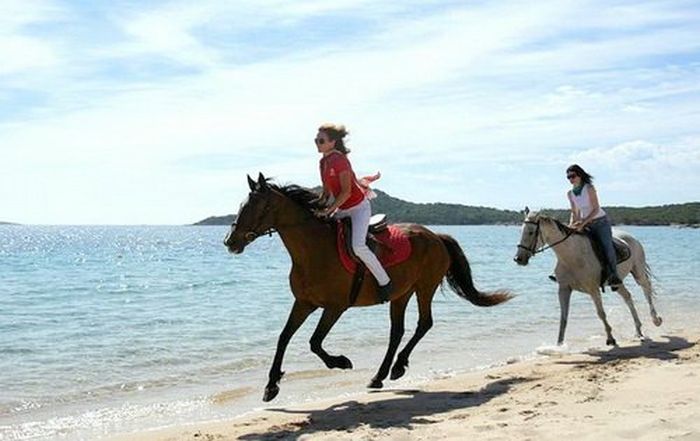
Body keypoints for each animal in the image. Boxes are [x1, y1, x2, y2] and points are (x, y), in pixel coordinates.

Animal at [226, 174, 516, 400]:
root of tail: (436, 236)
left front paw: (340, 362)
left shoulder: (335, 307)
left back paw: (397, 367)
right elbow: (284, 337)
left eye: (255, 207)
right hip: (402, 293)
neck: (314, 250)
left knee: (424, 323)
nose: (230, 241)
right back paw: (380, 375)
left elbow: (314, 341)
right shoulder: (304, 303)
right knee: (397, 331)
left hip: (425, 286)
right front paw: (271, 386)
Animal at [516, 208, 660, 346]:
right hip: (617, 283)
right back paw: (638, 330)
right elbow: (563, 317)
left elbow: (601, 313)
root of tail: (631, 238)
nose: (518, 259)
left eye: (530, 232)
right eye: (521, 231)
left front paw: (610, 338)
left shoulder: (593, 289)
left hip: (638, 272)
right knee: (628, 297)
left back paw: (656, 320)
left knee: (646, 290)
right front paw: (559, 344)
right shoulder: (564, 289)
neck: (572, 256)